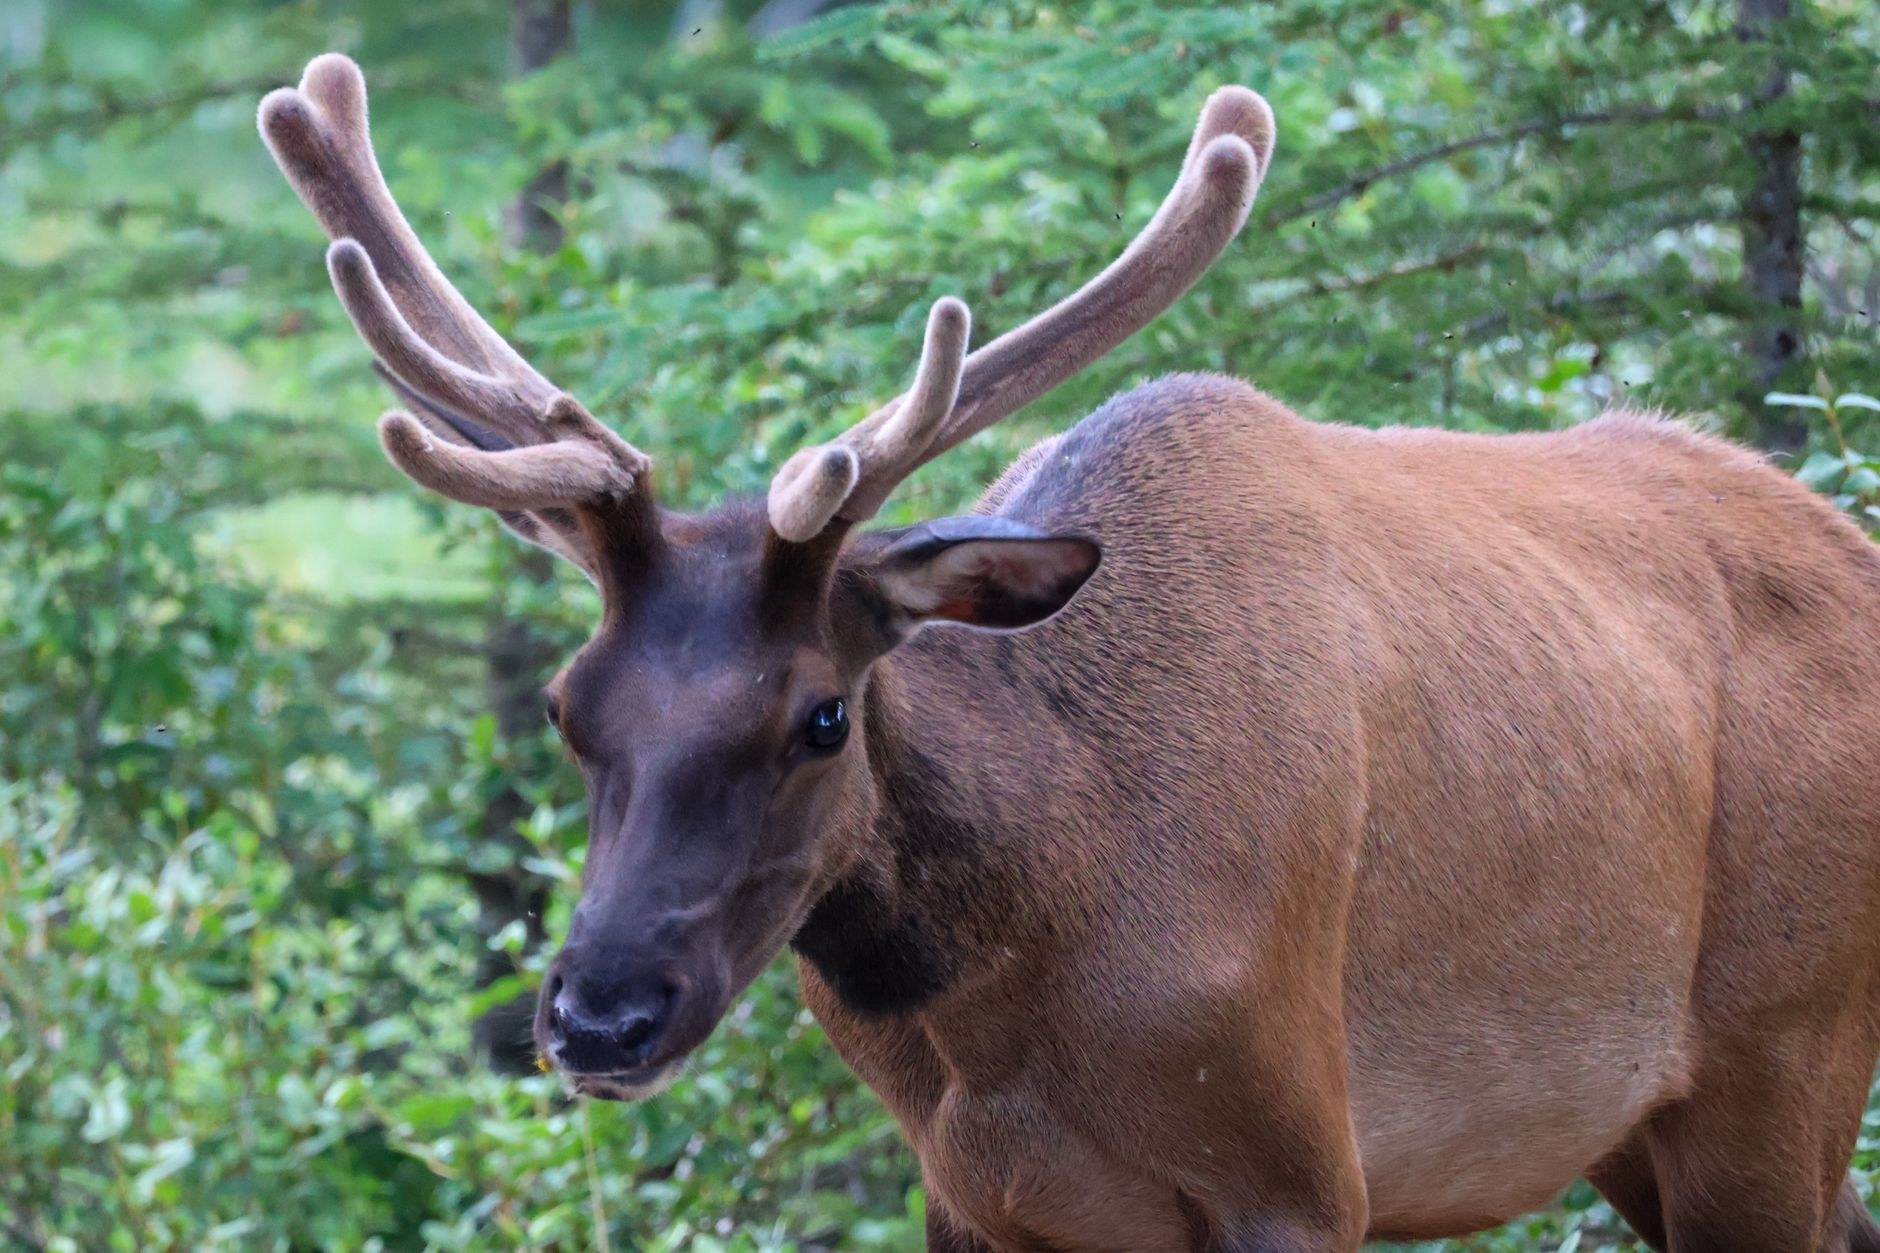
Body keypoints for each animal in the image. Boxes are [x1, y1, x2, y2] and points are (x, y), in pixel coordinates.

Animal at [258, 53, 1880, 1252]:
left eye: (823, 714)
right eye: (566, 706)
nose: (598, 1011)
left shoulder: (1303, 1164)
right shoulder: (977, 1198)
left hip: (1784, 1047)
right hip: (1658, 1122)